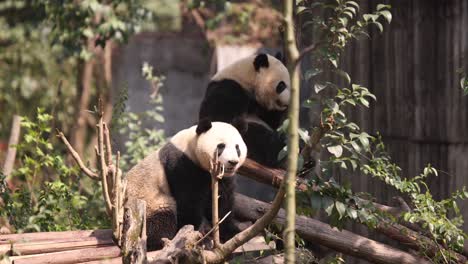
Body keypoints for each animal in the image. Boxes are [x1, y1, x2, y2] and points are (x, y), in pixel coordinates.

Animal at [124, 119, 249, 250]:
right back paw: (159, 239)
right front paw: (199, 239)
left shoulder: (222, 177)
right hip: (148, 204)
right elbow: (189, 201)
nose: (233, 162)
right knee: (161, 220)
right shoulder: (182, 164)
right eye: (221, 146)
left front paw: (229, 232)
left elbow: (222, 201)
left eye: (237, 148)